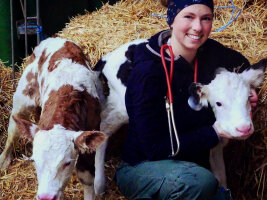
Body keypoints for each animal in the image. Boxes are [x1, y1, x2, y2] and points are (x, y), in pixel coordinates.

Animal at [0, 37, 107, 200]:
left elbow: (87, 178)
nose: (46, 197)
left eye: (67, 163)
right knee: (13, 128)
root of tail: (57, 38)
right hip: (23, 94)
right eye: (34, 160)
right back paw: (3, 161)